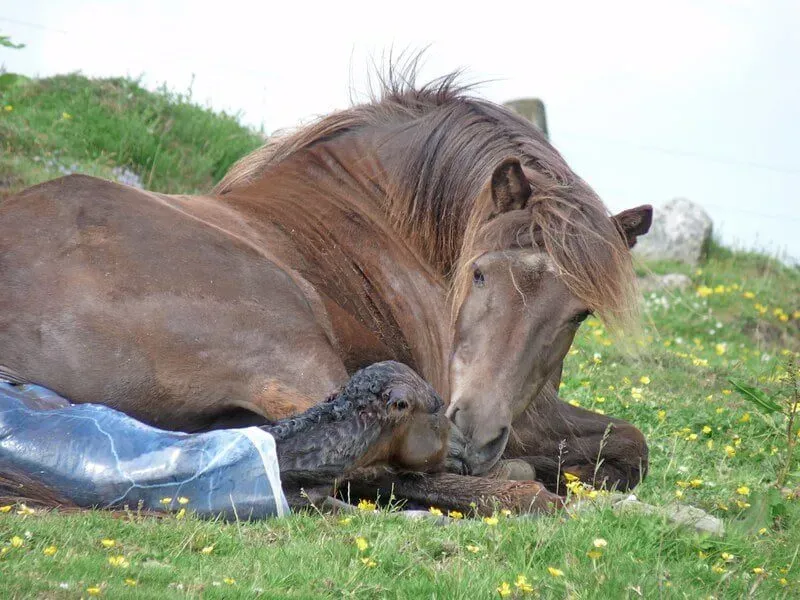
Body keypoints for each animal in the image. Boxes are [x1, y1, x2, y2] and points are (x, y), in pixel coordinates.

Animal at [0, 70, 651, 511]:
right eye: (480, 272)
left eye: (579, 314)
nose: (476, 432)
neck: (389, 218)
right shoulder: (513, 411)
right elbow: (632, 441)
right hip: (295, 342)